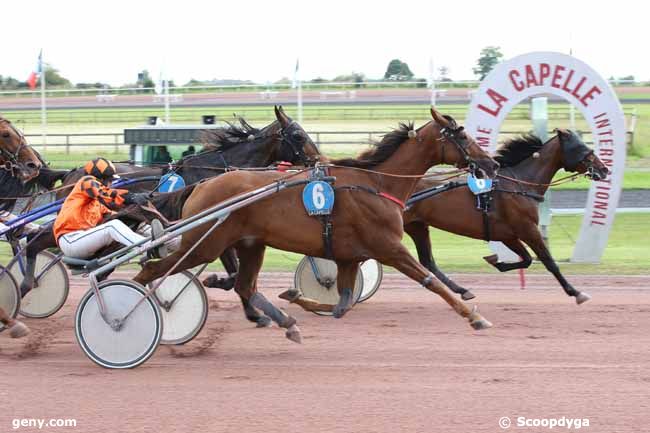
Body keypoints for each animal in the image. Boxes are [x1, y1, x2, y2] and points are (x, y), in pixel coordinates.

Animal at [130, 106, 496, 342]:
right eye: (462, 136)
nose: (490, 163)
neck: (377, 183)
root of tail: (202, 185)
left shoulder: (349, 256)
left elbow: (341, 304)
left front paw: (295, 298)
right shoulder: (390, 248)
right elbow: (431, 282)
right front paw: (475, 316)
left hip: (250, 244)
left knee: (245, 285)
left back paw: (284, 322)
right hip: (205, 243)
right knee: (152, 270)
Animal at [402, 130, 612, 302]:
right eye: (582, 148)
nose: (604, 169)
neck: (520, 184)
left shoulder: (508, 235)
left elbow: (527, 259)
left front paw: (496, 261)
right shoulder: (527, 229)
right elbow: (549, 261)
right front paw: (575, 292)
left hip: (417, 226)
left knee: (428, 262)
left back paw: (462, 290)